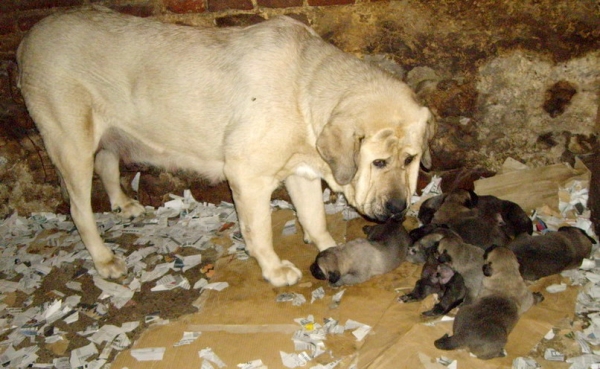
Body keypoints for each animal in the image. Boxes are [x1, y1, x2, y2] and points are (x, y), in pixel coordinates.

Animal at [16, 7, 434, 286]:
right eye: (378, 163)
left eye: (411, 159)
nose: (397, 210)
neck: (304, 92)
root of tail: (28, 38)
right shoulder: (248, 177)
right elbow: (259, 231)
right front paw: (274, 269)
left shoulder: (300, 173)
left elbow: (314, 217)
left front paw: (329, 247)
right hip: (71, 145)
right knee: (79, 209)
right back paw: (104, 260)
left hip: (106, 136)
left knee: (106, 164)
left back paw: (124, 204)